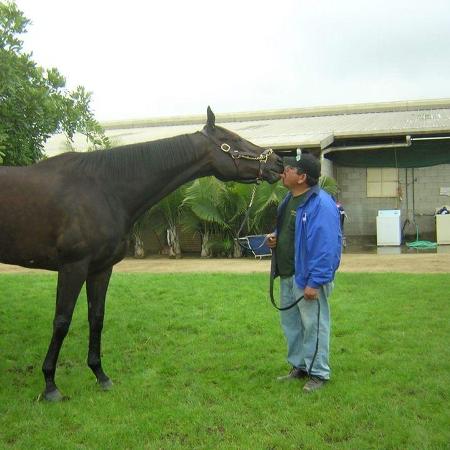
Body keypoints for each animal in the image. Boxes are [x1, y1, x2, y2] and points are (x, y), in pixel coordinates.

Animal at [0, 108, 282, 400]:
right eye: (232, 139)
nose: (278, 163)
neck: (103, 189)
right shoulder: (73, 267)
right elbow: (61, 322)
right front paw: (50, 384)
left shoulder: (101, 269)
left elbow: (96, 318)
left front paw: (100, 375)